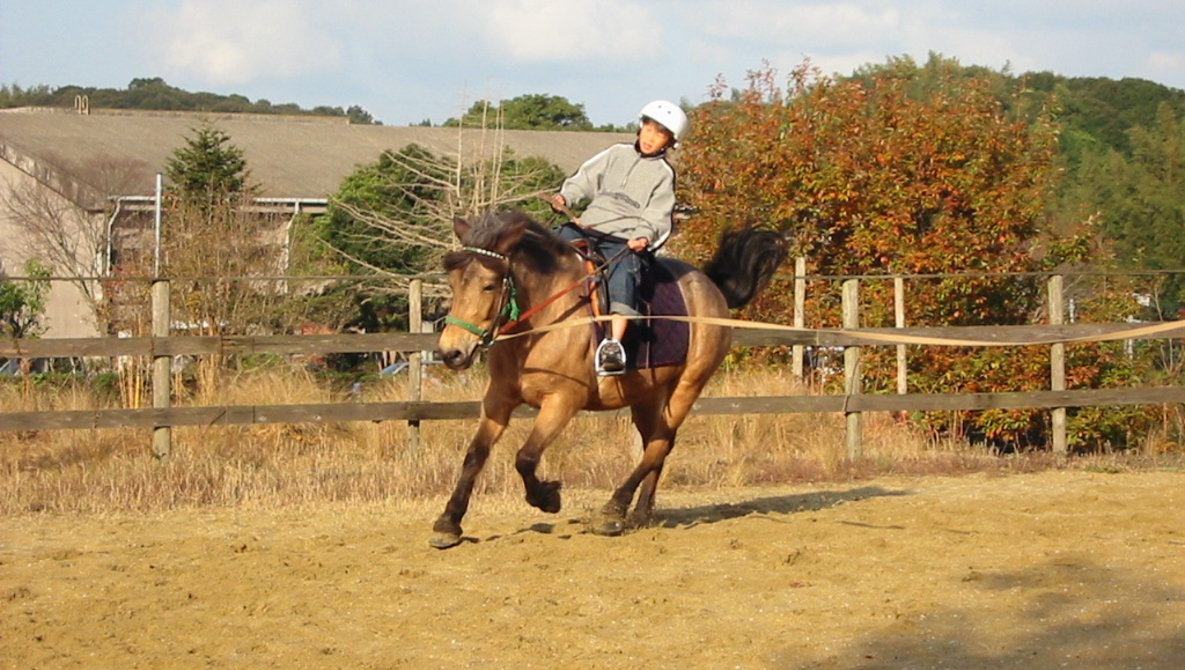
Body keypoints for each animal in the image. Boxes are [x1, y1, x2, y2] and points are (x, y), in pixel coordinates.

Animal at [431, 209, 782, 547]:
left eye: (489, 285)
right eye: (454, 284)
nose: (451, 352)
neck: (544, 321)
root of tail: (709, 286)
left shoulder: (563, 401)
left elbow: (526, 458)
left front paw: (548, 498)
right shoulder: (499, 399)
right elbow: (475, 455)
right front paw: (449, 523)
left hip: (688, 386)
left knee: (659, 443)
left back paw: (613, 511)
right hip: (648, 396)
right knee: (656, 444)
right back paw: (640, 513)